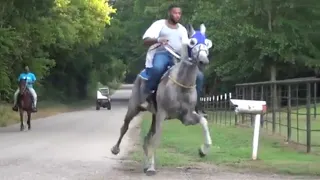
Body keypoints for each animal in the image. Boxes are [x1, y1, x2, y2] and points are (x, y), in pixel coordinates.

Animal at [111, 23, 214, 176]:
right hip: (134, 107)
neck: (181, 85)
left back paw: (145, 165)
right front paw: (152, 168)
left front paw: (203, 150)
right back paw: (116, 149)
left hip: (153, 116)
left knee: (146, 138)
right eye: (192, 42)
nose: (203, 61)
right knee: (125, 127)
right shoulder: (162, 114)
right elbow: (156, 139)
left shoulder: (186, 117)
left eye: (207, 42)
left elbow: (204, 122)